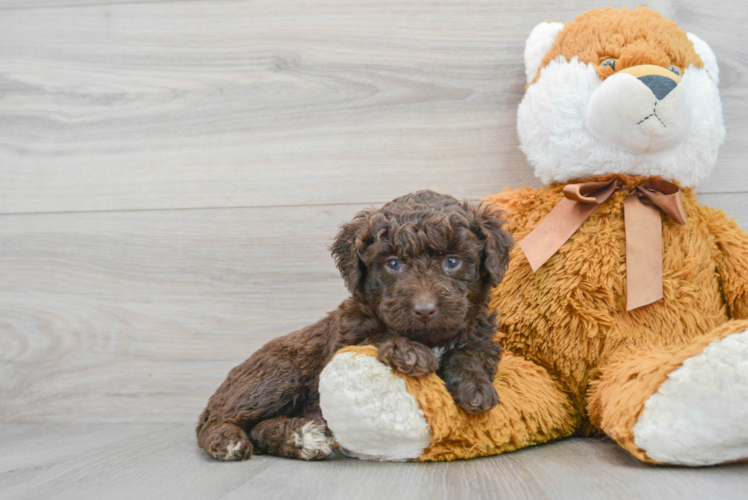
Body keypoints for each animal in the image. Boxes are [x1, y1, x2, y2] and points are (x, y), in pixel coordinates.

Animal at [199, 190, 516, 460]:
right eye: (393, 264)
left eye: (452, 262)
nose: (424, 310)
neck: (430, 338)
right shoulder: (345, 338)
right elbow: (377, 336)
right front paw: (409, 352)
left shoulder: (482, 336)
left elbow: (470, 352)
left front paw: (475, 388)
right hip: (278, 372)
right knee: (215, 419)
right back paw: (230, 441)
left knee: (257, 427)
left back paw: (304, 438)